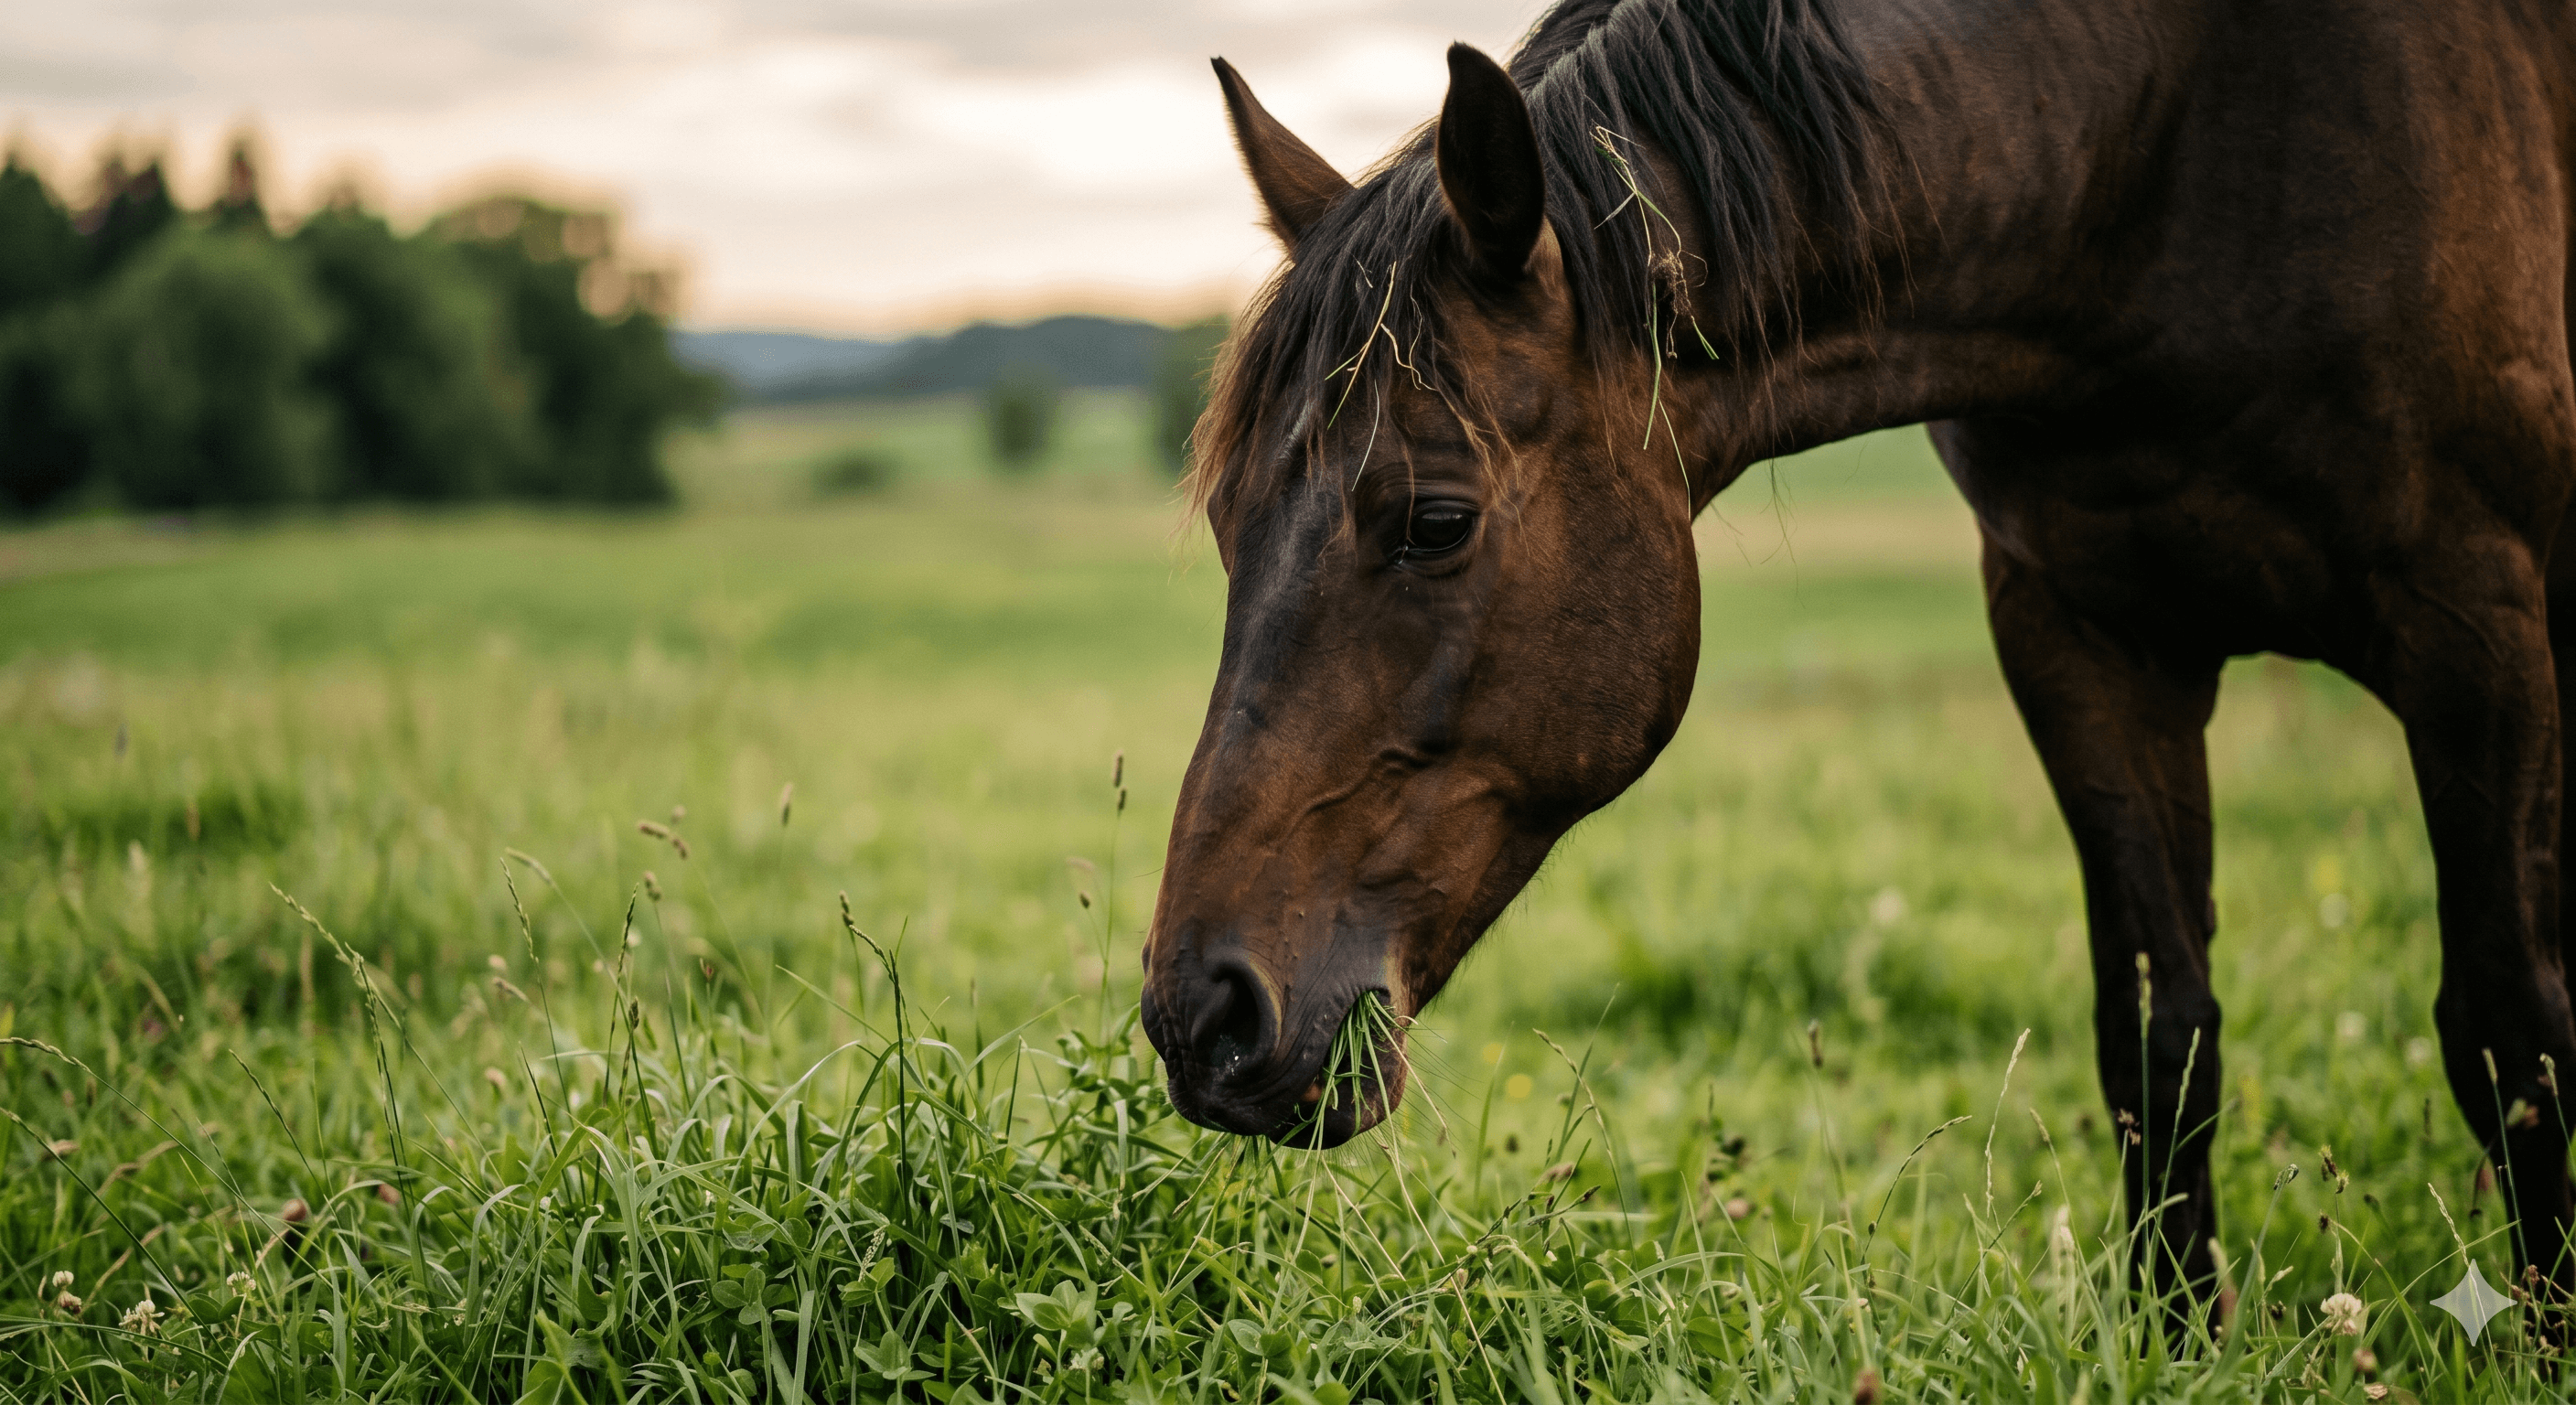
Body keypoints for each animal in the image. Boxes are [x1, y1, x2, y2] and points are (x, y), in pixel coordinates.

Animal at [1136, 0, 2576, 1310]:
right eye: (1223, 521)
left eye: (1435, 521)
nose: (1202, 1016)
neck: (2173, 155)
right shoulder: (2083, 641)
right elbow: (2160, 1037)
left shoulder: (2478, 627)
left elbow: (2509, 1034)